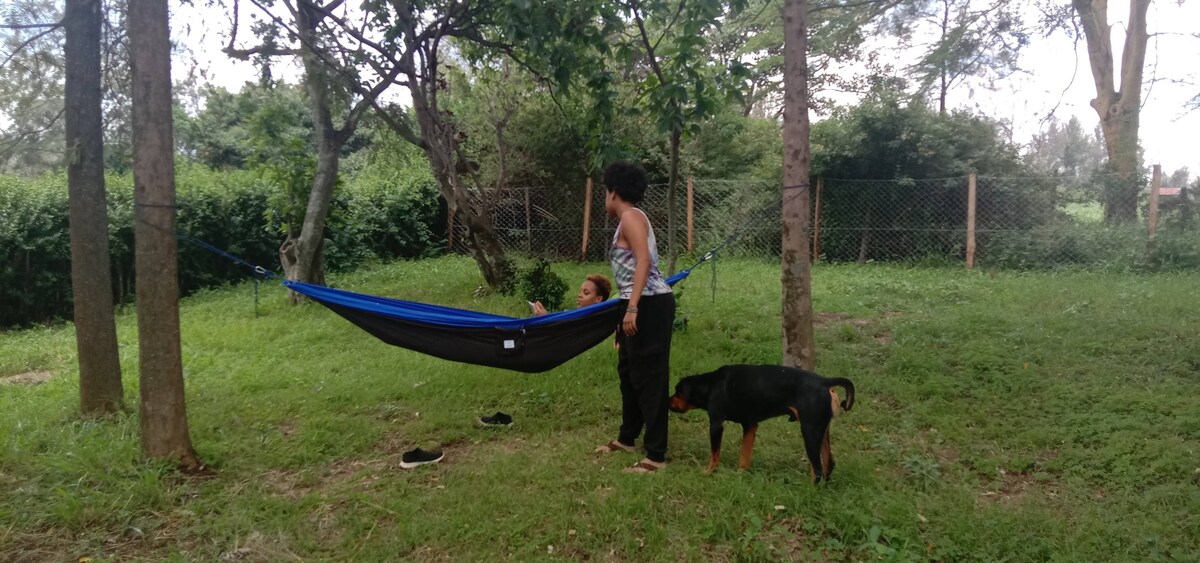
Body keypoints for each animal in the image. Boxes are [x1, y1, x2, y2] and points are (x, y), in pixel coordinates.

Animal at [667, 367, 854, 480]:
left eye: (677, 392)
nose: (667, 402)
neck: (710, 384)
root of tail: (825, 381)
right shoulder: (750, 425)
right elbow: (744, 455)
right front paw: (740, 473)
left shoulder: (716, 424)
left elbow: (715, 454)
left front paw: (708, 471)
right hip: (821, 430)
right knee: (829, 463)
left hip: (810, 432)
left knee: (818, 469)